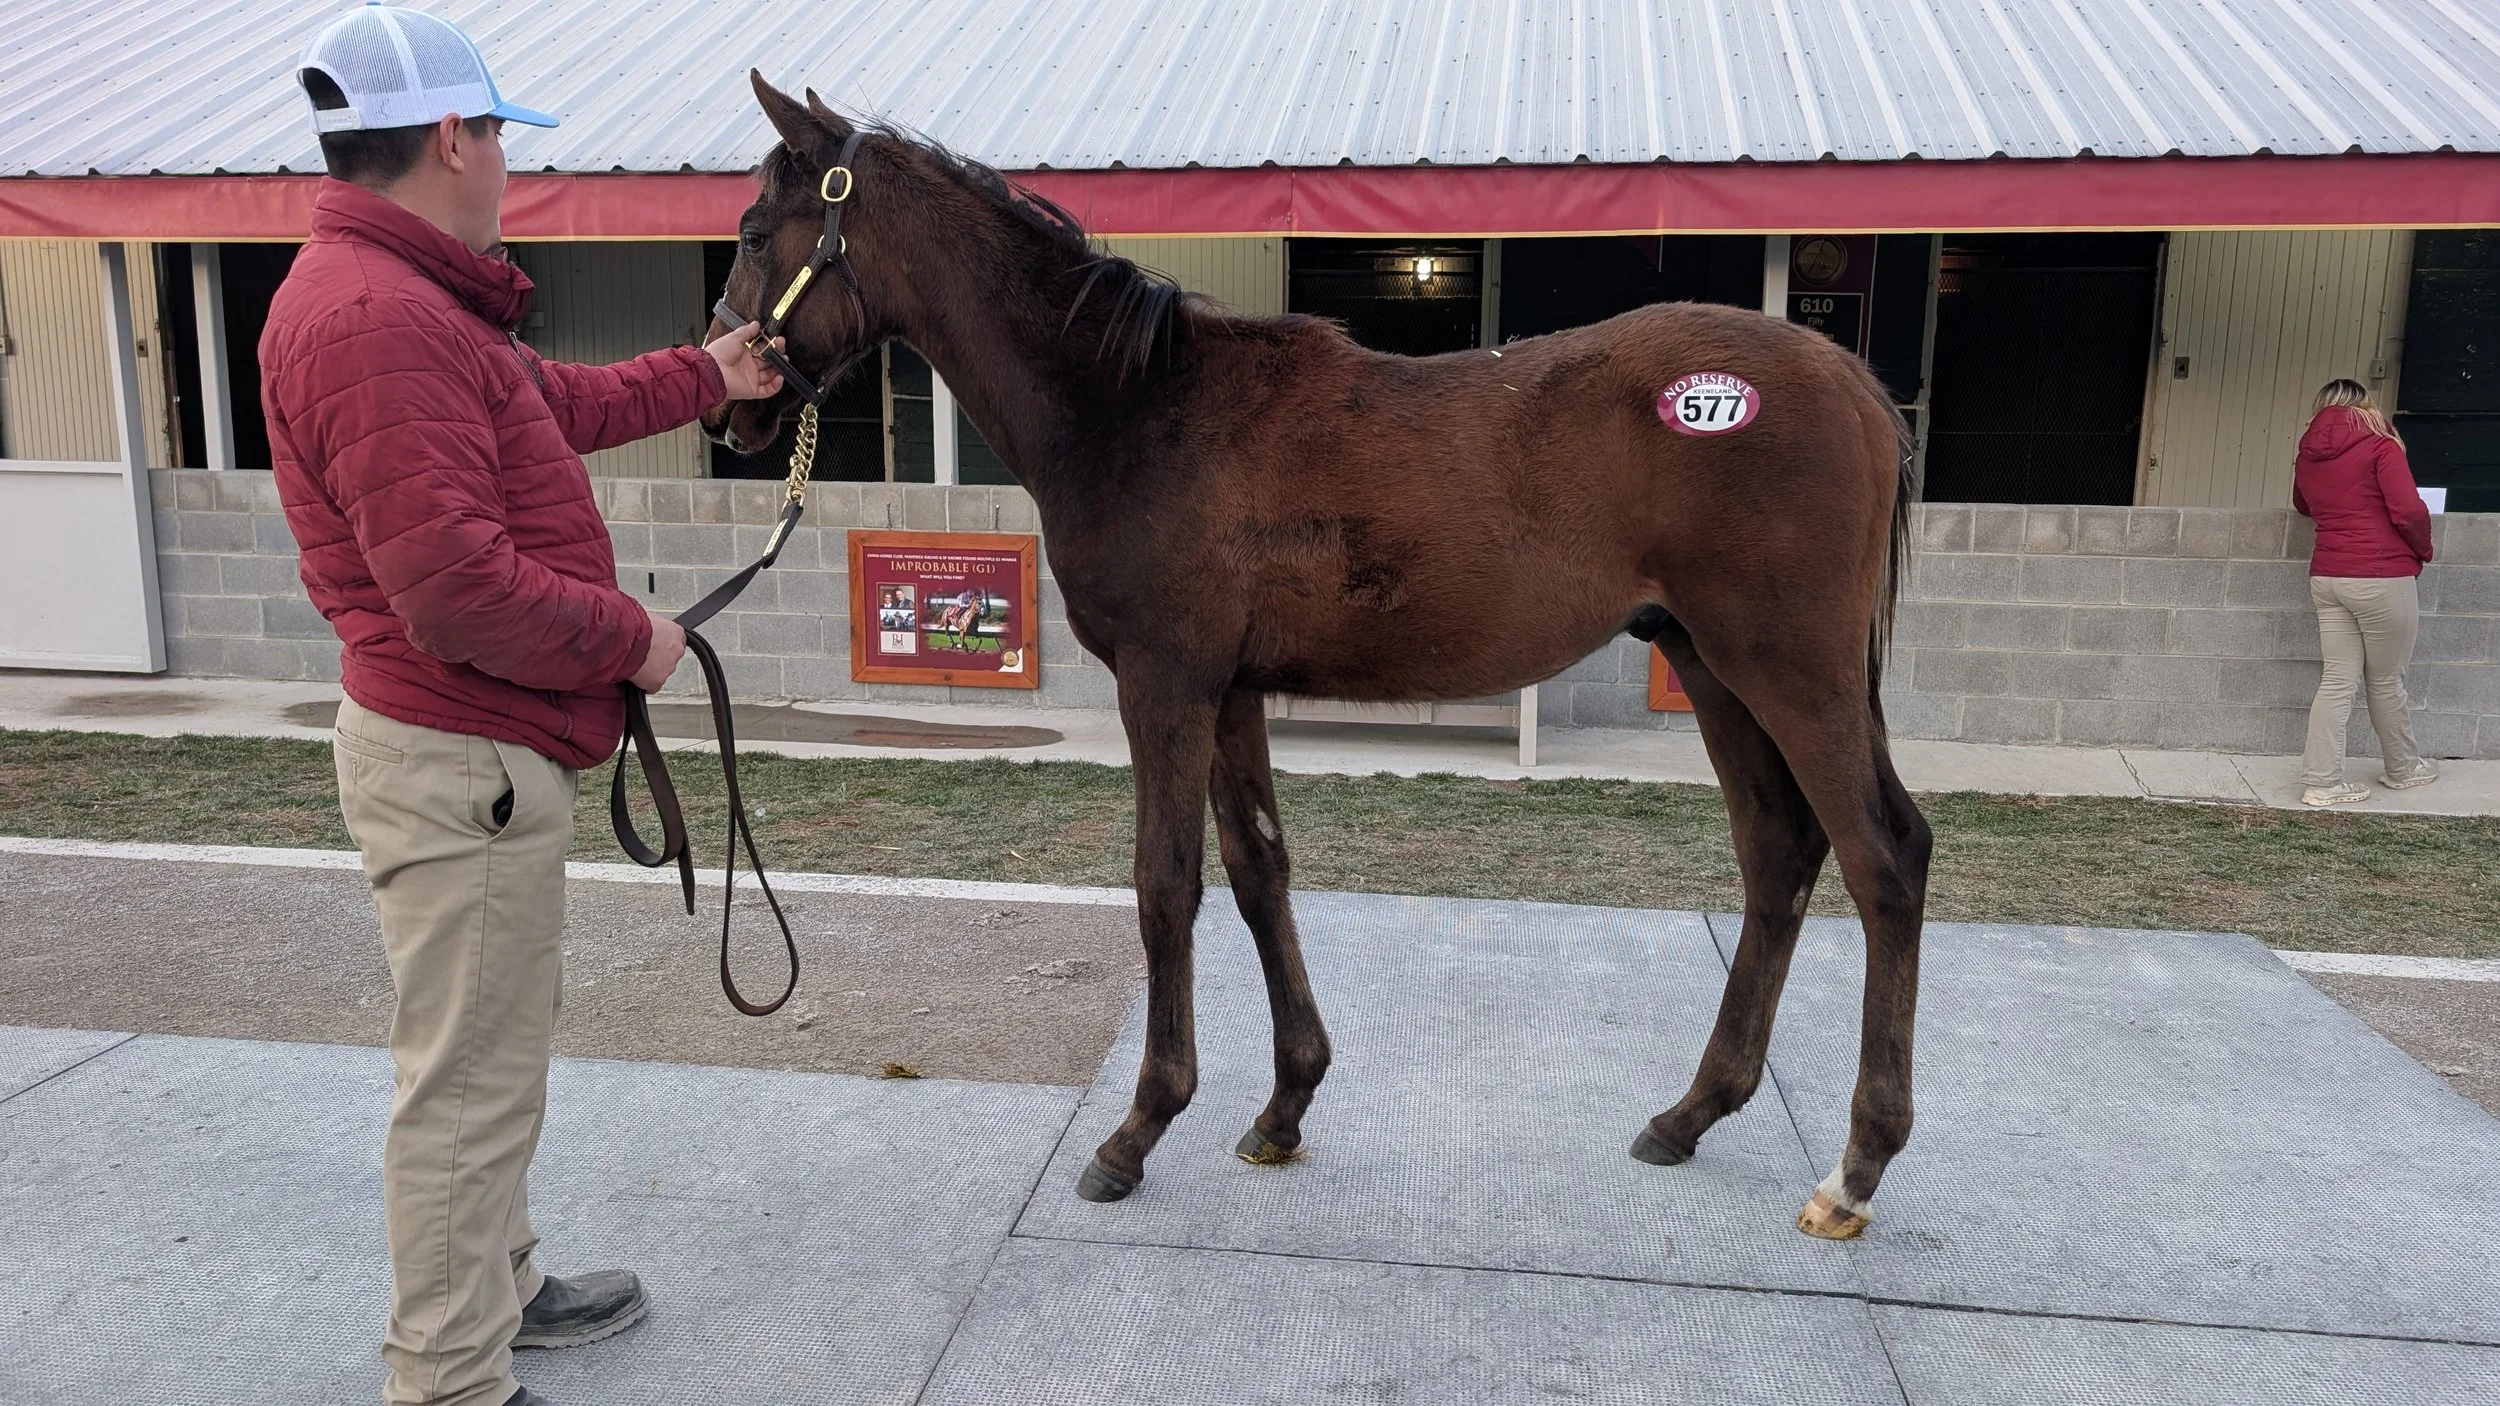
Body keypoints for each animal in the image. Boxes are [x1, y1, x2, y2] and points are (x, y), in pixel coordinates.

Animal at [705, 75, 1930, 1240]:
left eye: (758, 228)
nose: (730, 412)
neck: (1138, 406)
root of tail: (1859, 385)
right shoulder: (1230, 691)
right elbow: (1260, 871)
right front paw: (1284, 1106)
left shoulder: (1165, 681)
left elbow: (1166, 884)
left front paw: (1137, 1130)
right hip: (1716, 669)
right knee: (1777, 853)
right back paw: (1690, 1114)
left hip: (1789, 670)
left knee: (1882, 857)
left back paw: (1855, 1170)